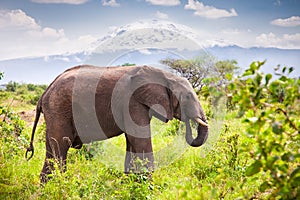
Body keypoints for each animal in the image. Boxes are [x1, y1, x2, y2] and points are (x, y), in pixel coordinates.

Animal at [25, 65, 209, 183]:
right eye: (187, 97)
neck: (164, 75)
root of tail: (44, 93)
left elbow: (132, 141)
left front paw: (131, 184)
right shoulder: (133, 102)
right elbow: (140, 140)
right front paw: (149, 188)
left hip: (54, 113)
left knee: (51, 151)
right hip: (59, 109)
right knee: (61, 147)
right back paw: (60, 185)